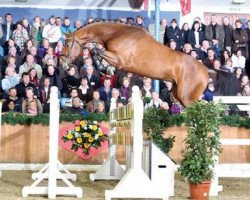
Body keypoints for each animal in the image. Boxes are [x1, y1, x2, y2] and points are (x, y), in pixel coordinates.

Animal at [60, 21, 209, 106]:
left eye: (67, 44)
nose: (61, 64)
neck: (116, 33)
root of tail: (205, 72)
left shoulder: (118, 60)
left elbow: (95, 50)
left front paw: (105, 68)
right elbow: (94, 51)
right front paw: (104, 68)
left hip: (187, 97)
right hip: (179, 94)